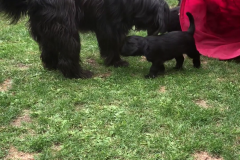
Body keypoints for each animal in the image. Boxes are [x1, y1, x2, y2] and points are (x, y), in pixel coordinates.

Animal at [0, 0, 169, 78]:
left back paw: (52, 65)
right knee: (68, 55)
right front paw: (116, 62)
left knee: (48, 48)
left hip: (47, 29)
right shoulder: (110, 25)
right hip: (66, 29)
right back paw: (78, 74)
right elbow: (113, 45)